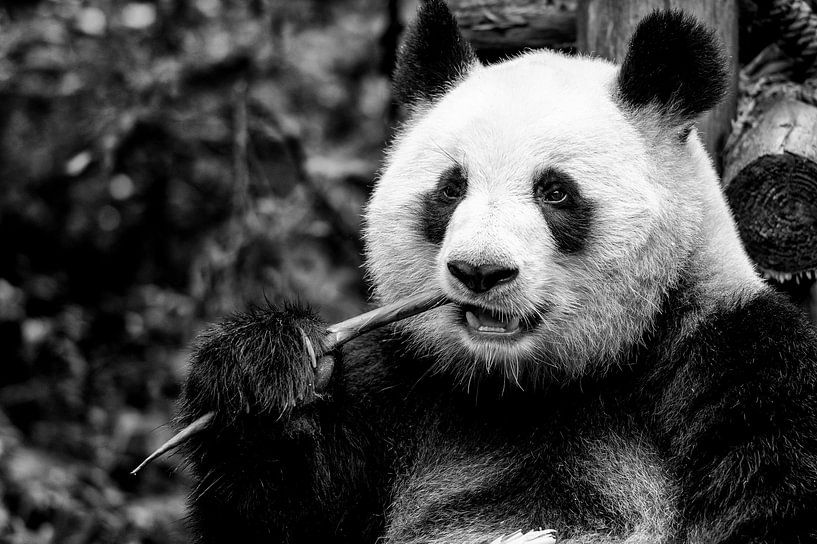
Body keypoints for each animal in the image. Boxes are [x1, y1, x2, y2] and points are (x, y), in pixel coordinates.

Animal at [177, 1, 817, 543]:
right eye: (451, 187)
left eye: (555, 192)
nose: (479, 272)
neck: (524, 386)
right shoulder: (396, 378)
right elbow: (282, 515)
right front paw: (266, 370)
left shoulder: (738, 360)